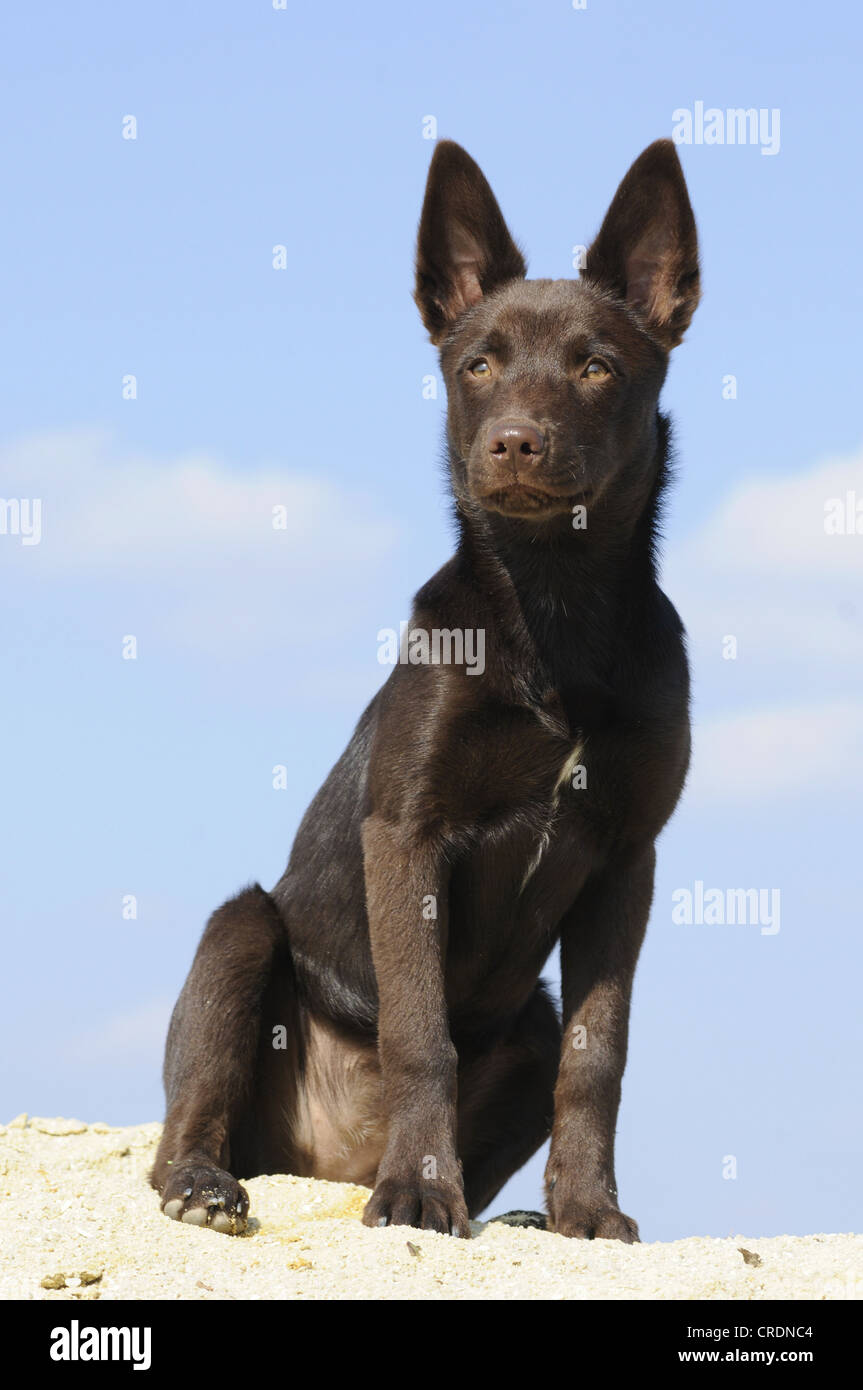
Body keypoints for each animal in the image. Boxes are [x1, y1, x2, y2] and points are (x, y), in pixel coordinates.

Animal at [151, 138, 697, 1239]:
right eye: (476, 363)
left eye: (596, 366)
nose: (514, 442)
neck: (553, 612)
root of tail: (322, 1163)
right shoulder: (406, 831)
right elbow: (418, 1031)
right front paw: (417, 1191)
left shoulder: (626, 858)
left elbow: (598, 1058)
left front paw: (587, 1210)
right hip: (241, 930)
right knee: (188, 1119)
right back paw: (215, 1183)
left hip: (527, 1021)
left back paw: (508, 1211)